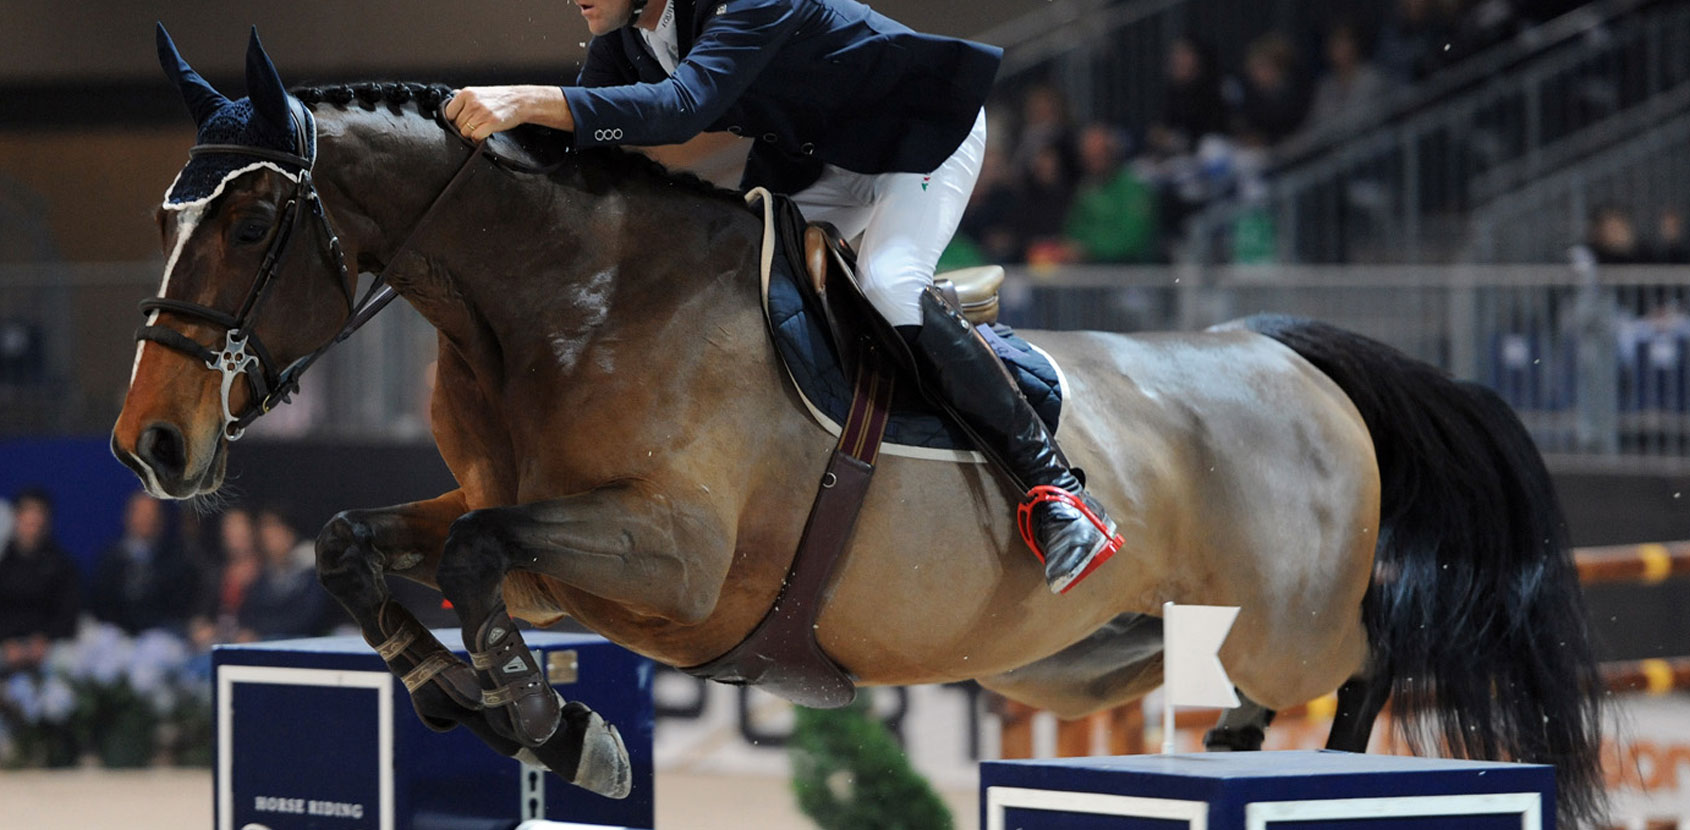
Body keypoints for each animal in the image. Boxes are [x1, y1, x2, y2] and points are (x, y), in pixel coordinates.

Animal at [112, 28, 1604, 821]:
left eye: (253, 218)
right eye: (170, 215)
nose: (152, 446)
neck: (555, 304)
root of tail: (1282, 352)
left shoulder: (672, 556)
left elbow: (477, 555)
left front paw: (553, 726)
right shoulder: (538, 541)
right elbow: (359, 540)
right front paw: (461, 697)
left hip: (1288, 617)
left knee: (1367, 656)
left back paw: (1301, 755)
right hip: (1088, 657)